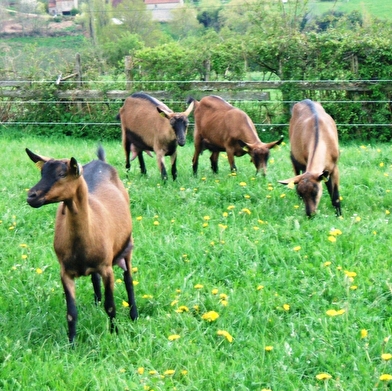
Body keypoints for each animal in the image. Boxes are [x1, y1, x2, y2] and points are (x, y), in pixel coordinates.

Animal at [25, 146, 137, 344]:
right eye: (41, 172)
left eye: (62, 174)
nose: (31, 196)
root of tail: (101, 161)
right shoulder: (65, 272)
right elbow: (71, 312)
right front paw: (71, 344)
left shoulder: (107, 268)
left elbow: (111, 306)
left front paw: (114, 333)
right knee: (95, 279)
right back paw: (96, 304)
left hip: (128, 245)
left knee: (128, 280)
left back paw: (134, 315)